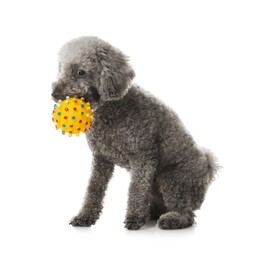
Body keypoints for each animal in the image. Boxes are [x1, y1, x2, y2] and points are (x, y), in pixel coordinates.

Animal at [51, 36, 218, 230]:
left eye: (80, 72)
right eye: (61, 69)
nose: (54, 94)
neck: (112, 109)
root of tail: (207, 167)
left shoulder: (143, 157)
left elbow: (136, 189)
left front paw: (134, 218)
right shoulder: (101, 158)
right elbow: (94, 188)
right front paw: (85, 216)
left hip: (172, 178)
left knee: (187, 214)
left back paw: (172, 219)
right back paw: (151, 213)